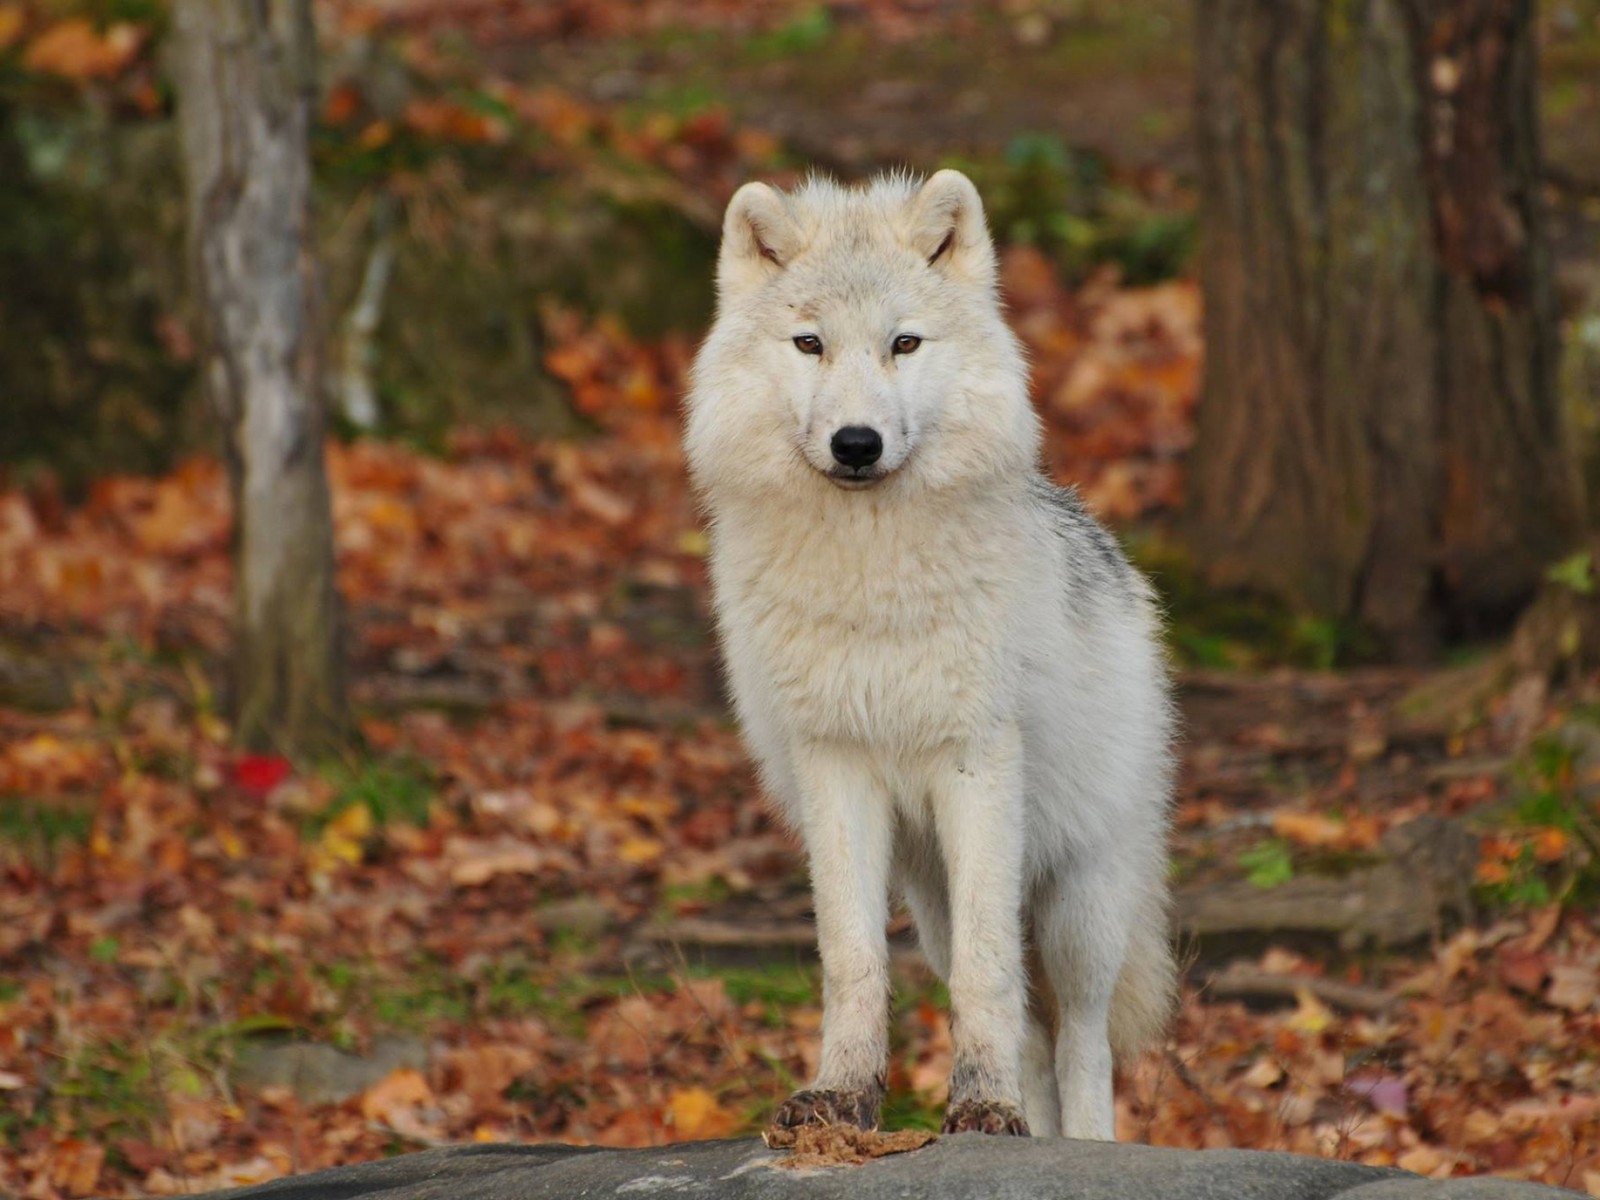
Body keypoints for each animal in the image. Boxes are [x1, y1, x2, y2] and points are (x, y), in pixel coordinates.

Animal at [681, 171, 1171, 1145]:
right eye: (810, 343)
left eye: (904, 343)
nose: (856, 444)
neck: (872, 583)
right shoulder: (835, 765)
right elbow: (852, 958)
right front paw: (842, 1097)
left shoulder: (974, 762)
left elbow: (990, 973)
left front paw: (980, 1106)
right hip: (931, 897)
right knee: (1030, 1030)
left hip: (1079, 903)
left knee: (1081, 1036)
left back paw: (1083, 1144)